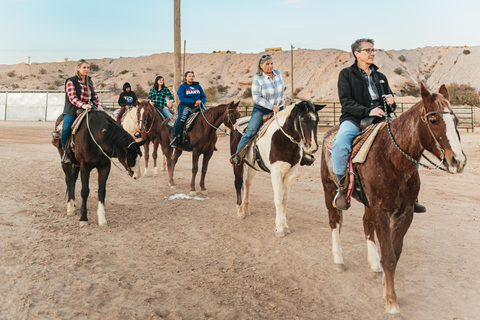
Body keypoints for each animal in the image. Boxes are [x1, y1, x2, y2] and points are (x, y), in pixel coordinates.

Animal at [320, 84, 466, 316]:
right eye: (434, 120)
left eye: (457, 120)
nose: (458, 161)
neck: (391, 159)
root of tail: (328, 133)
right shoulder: (382, 212)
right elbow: (388, 257)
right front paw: (391, 303)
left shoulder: (404, 214)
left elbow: (394, 256)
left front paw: (386, 289)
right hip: (329, 189)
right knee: (335, 222)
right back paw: (338, 260)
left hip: (368, 204)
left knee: (366, 224)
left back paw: (373, 266)